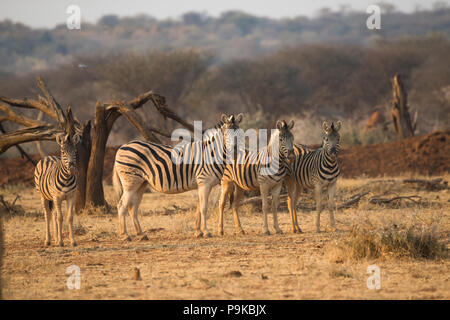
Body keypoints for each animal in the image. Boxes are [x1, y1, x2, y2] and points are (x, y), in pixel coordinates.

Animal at [114, 114, 244, 239]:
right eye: (227, 134)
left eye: (240, 134)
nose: (236, 151)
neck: (212, 154)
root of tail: (122, 146)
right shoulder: (204, 183)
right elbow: (203, 207)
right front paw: (206, 232)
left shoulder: (201, 184)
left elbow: (198, 207)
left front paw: (198, 232)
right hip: (130, 183)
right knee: (122, 206)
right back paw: (125, 235)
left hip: (141, 183)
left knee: (133, 207)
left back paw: (141, 234)